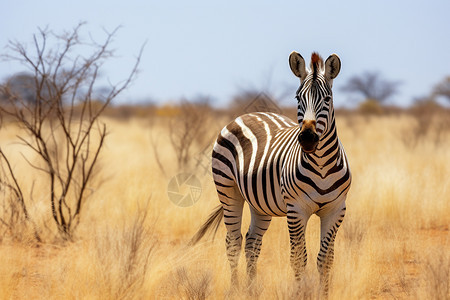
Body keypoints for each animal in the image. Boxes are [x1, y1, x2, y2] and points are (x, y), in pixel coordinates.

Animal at [190, 51, 352, 296]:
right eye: (297, 98)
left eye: (327, 99)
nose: (307, 138)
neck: (322, 165)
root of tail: (249, 114)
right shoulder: (296, 209)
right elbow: (298, 259)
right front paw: (300, 294)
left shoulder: (335, 210)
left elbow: (325, 260)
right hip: (228, 189)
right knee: (234, 241)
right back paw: (235, 289)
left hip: (259, 203)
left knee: (252, 243)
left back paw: (250, 290)